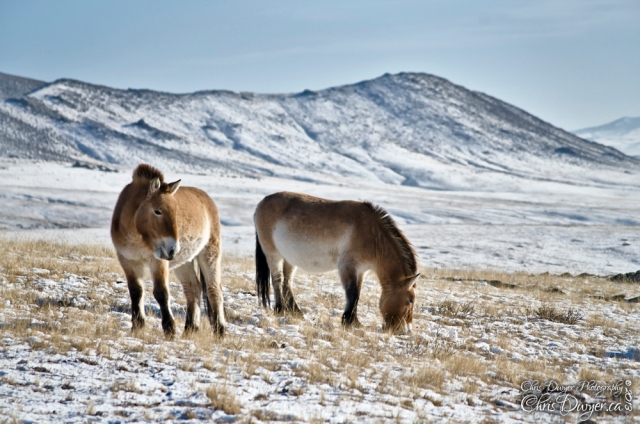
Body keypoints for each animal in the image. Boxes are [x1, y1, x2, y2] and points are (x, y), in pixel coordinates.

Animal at [111, 163, 226, 338]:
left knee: (214, 289)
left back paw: (220, 331)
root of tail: (206, 198)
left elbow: (161, 293)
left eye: (175, 212)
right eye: (157, 211)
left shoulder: (158, 262)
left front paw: (169, 329)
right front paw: (137, 326)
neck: (137, 237)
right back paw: (190, 329)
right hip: (184, 263)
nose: (172, 249)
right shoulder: (128, 261)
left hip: (209, 253)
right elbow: (136, 291)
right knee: (193, 288)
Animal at [255, 190, 420, 332]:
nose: (406, 330)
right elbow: (352, 292)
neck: (371, 235)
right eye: (410, 300)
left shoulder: (361, 271)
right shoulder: (347, 266)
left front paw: (355, 321)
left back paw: (296, 312)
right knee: (277, 280)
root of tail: (261, 202)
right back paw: (279, 309)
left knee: (287, 282)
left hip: (289, 258)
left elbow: (357, 293)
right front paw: (348, 321)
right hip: (273, 254)